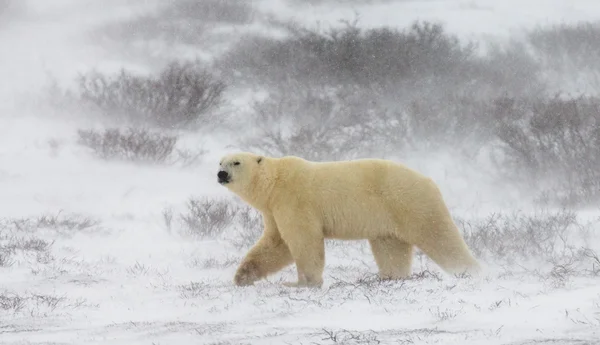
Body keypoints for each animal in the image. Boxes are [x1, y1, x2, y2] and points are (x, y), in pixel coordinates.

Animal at [218, 152, 480, 286]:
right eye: (220, 161)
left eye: (236, 162)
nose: (221, 173)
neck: (275, 182)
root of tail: (429, 180)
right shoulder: (273, 210)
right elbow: (276, 244)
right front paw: (242, 276)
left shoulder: (295, 201)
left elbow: (304, 241)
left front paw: (303, 283)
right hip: (388, 219)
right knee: (391, 249)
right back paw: (389, 277)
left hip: (409, 203)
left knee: (440, 237)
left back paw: (470, 272)